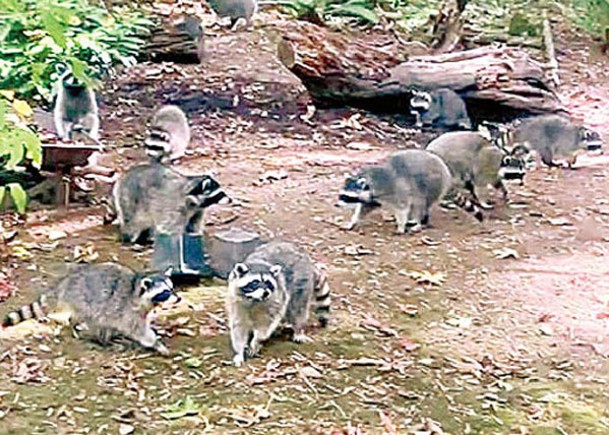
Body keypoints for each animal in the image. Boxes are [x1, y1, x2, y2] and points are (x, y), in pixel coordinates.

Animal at [2, 264, 177, 356]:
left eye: (172, 288)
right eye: (165, 293)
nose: (178, 298)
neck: (136, 289)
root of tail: (66, 281)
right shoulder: (128, 310)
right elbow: (138, 330)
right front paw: (156, 343)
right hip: (85, 300)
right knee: (95, 320)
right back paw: (101, 339)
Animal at [334, 150, 482, 235]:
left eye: (347, 197)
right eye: (341, 195)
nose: (336, 205)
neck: (370, 182)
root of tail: (447, 172)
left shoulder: (395, 189)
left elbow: (402, 208)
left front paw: (401, 225)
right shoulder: (372, 196)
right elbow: (365, 207)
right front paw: (353, 221)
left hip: (432, 184)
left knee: (421, 203)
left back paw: (418, 222)